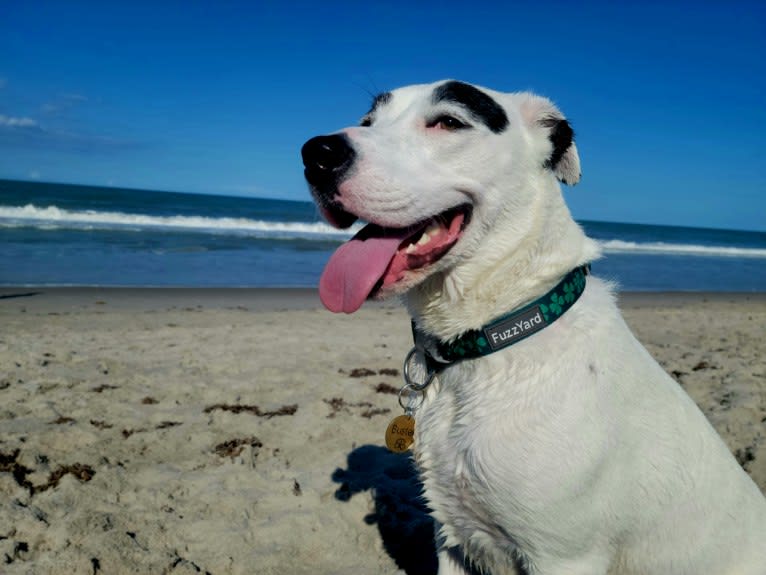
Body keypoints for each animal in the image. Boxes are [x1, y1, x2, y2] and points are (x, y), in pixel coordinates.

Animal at [302, 82, 766, 575]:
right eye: (368, 121)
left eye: (448, 122)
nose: (317, 153)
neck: (492, 336)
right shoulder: (452, 539)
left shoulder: (564, 557)